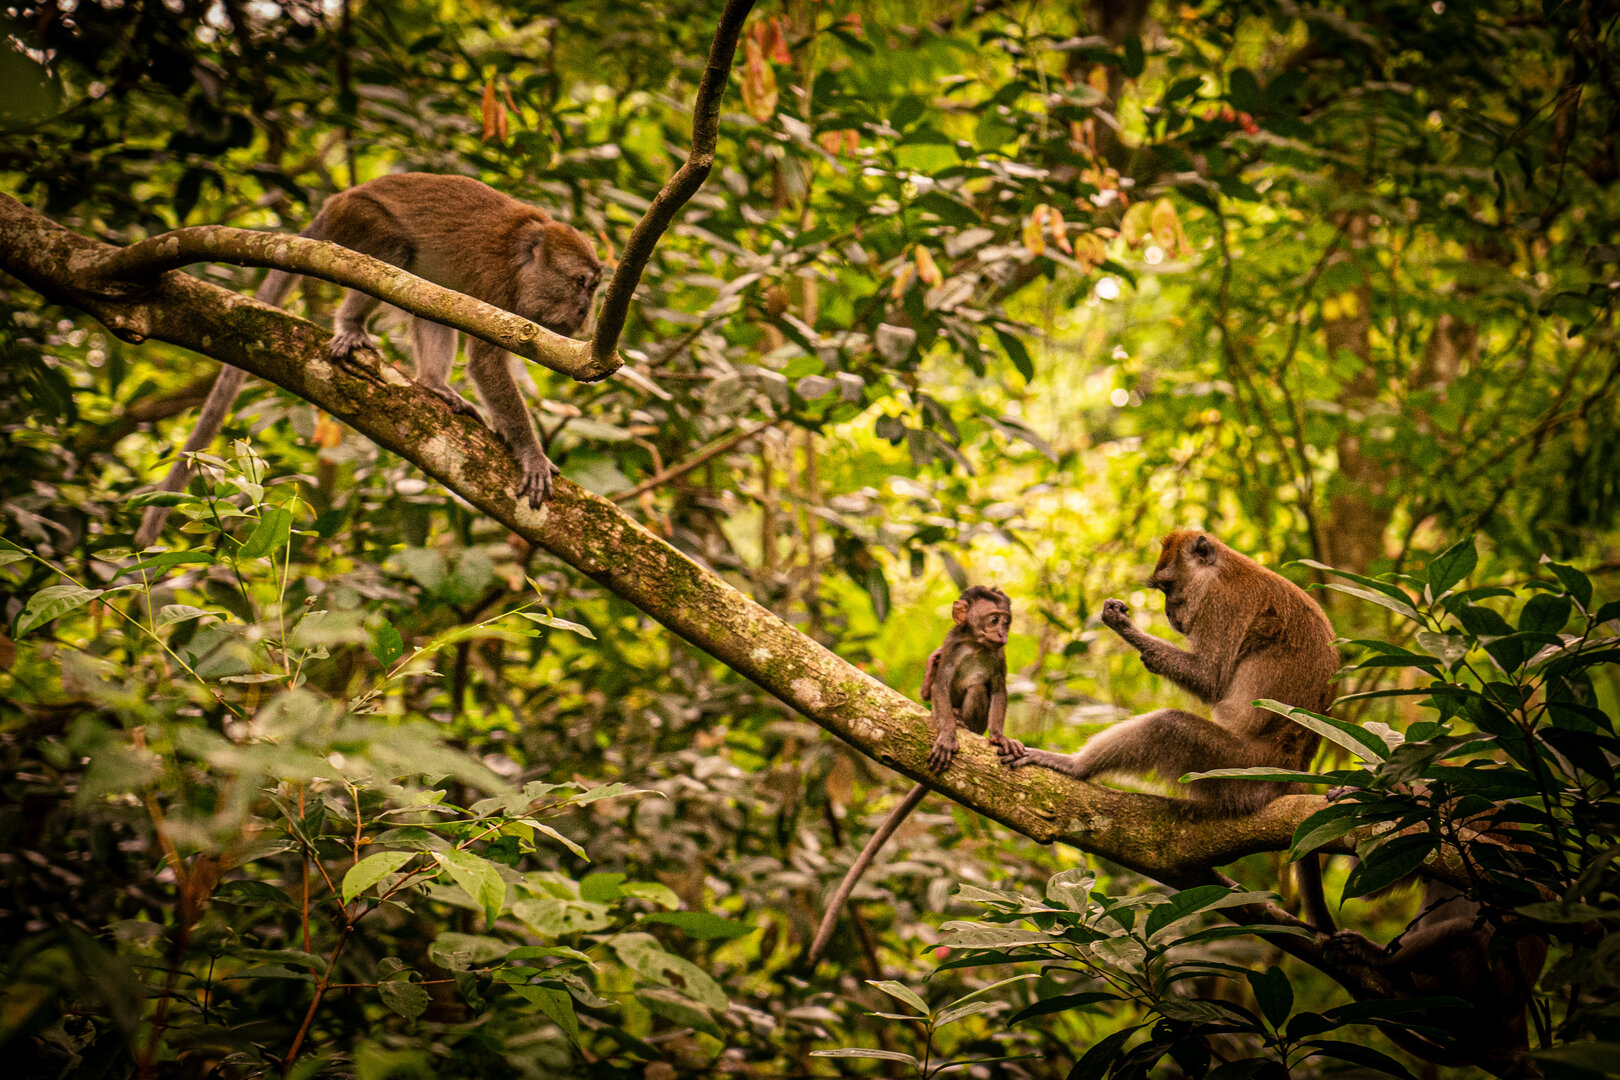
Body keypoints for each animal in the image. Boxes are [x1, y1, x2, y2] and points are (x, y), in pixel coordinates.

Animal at [134, 173, 601, 547]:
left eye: (594, 289)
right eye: (580, 283)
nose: (584, 314)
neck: (524, 261)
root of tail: (339, 199)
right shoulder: (498, 284)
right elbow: (486, 363)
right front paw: (530, 453)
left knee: (431, 299)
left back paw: (433, 383)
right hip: (357, 219)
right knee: (393, 252)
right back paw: (351, 323)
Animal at [807, 586, 1018, 965]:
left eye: (1006, 621)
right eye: (994, 619)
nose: (1002, 634)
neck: (977, 645)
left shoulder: (998, 657)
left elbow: (997, 689)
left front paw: (998, 737)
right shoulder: (953, 645)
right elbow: (943, 682)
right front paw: (946, 733)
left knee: (978, 689)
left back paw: (968, 726)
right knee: (938, 686)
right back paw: (951, 716)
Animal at [999, 531, 1339, 931]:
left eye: (1167, 587)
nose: (1168, 612)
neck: (1221, 569)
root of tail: (1293, 768)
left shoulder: (1220, 606)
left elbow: (1211, 679)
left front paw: (1126, 628)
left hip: (1237, 767)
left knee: (1168, 727)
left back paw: (1076, 767)